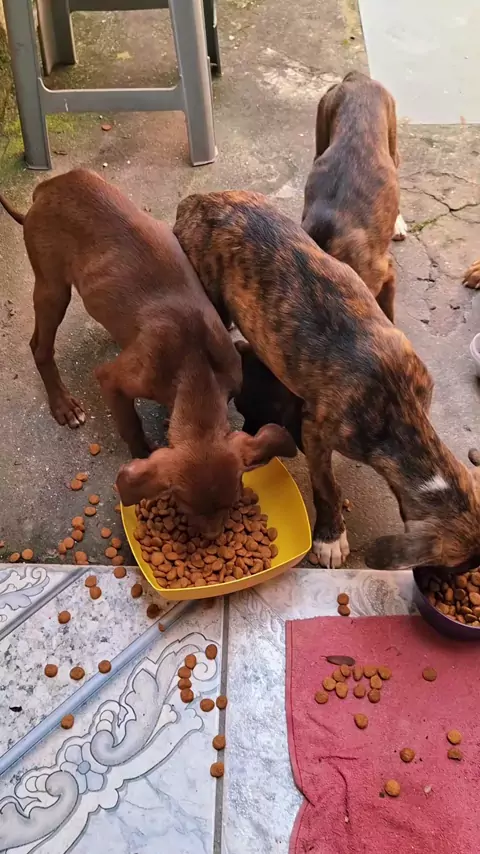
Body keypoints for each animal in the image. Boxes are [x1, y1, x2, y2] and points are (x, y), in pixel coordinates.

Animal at [0, 170, 296, 535]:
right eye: (184, 505)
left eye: (234, 500)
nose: (212, 539)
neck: (196, 367)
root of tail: (48, 187)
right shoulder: (113, 379)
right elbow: (130, 424)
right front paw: (140, 451)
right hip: (52, 288)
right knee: (39, 347)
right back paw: (63, 405)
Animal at [174, 189, 480, 568]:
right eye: (461, 567)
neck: (400, 410)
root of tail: (197, 200)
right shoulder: (317, 433)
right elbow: (326, 487)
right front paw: (331, 538)